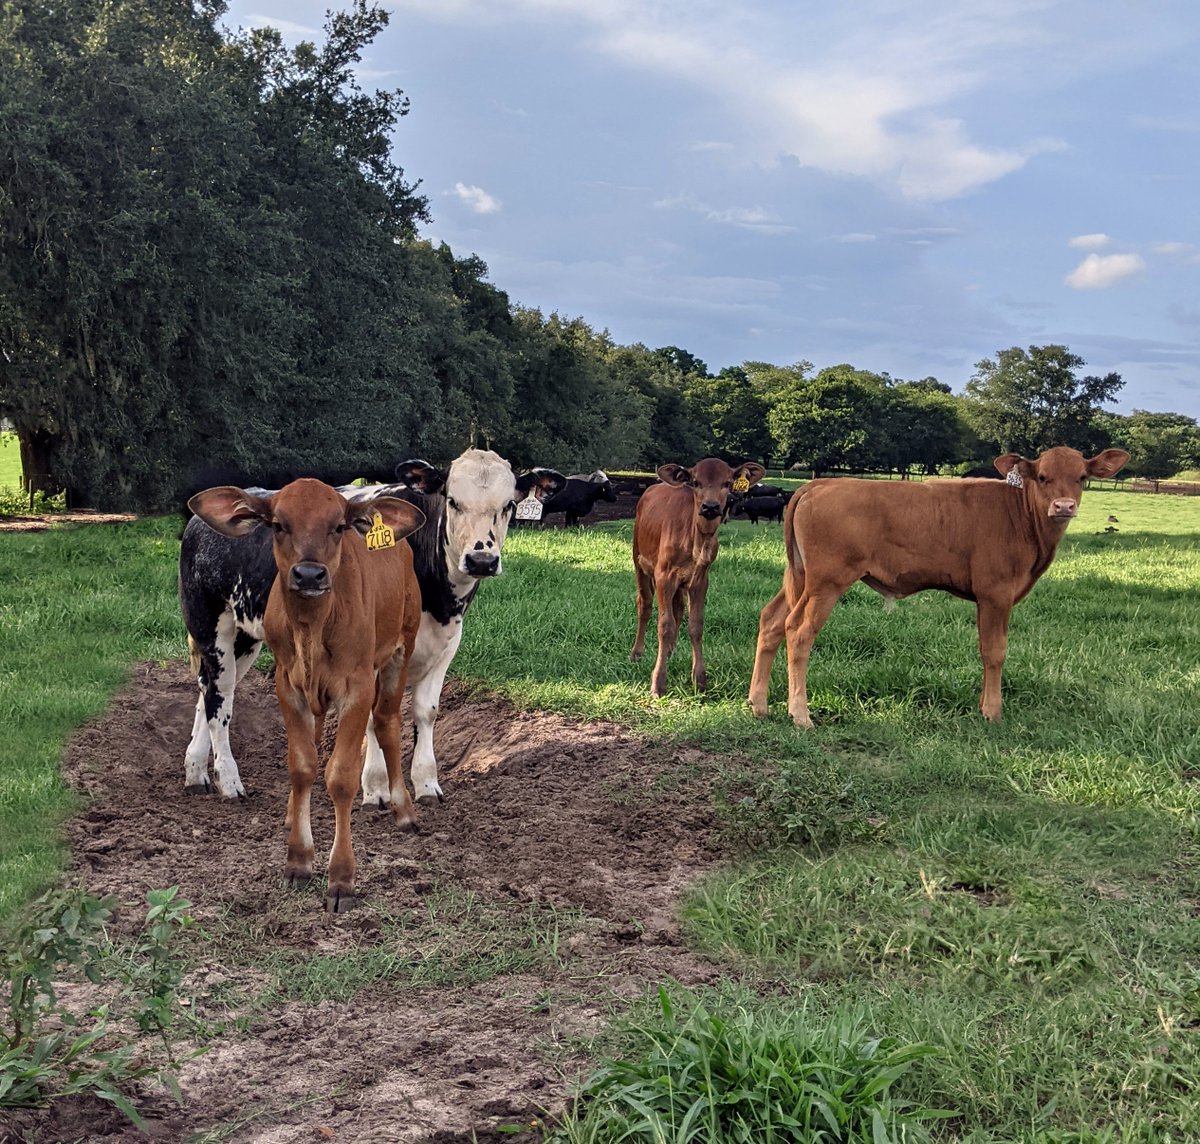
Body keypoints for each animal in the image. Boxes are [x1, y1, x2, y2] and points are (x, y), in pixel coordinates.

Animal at [179, 449, 565, 805]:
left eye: (509, 505)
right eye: (452, 500)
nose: (481, 560)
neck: (435, 597)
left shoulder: (447, 642)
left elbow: (426, 712)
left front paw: (426, 783)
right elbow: (371, 714)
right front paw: (376, 787)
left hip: (244, 635)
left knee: (211, 691)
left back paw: (196, 771)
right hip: (209, 622)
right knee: (218, 697)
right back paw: (229, 780)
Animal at [188, 479, 426, 911]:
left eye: (338, 526)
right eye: (279, 525)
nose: (310, 574)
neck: (314, 630)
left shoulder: (357, 689)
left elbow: (342, 776)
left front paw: (341, 878)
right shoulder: (289, 686)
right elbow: (302, 766)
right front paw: (298, 860)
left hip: (402, 646)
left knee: (386, 723)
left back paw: (403, 809)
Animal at [630, 457, 765, 698]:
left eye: (727, 483)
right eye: (695, 482)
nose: (710, 507)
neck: (695, 541)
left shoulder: (701, 579)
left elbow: (696, 624)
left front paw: (700, 679)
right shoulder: (664, 576)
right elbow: (665, 625)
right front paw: (658, 683)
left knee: (679, 608)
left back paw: (671, 650)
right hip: (639, 561)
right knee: (644, 604)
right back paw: (637, 653)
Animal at [748, 446, 1129, 727]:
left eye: (1081, 477)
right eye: (1043, 477)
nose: (1064, 506)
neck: (1021, 518)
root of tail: (819, 484)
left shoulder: (986, 599)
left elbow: (984, 649)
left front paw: (983, 704)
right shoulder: (996, 594)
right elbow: (995, 651)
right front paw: (993, 711)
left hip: (799, 577)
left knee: (771, 620)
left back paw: (759, 703)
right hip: (826, 582)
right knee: (798, 631)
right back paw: (800, 714)